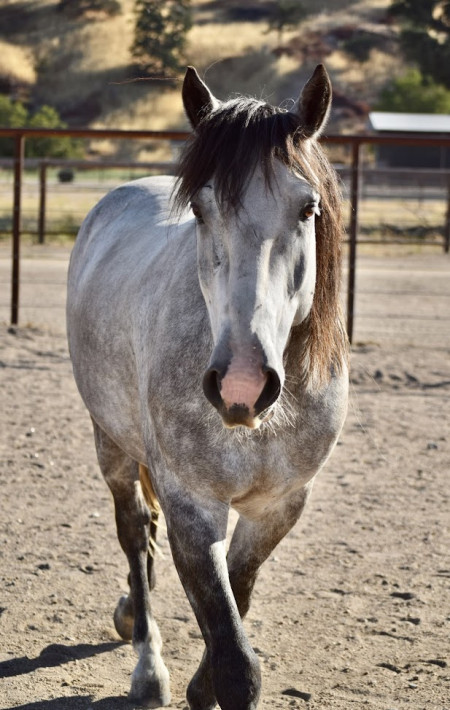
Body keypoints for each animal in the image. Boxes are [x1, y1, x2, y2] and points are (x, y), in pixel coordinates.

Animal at [66, 64, 348, 708]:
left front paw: (202, 686)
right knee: (134, 530)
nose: (242, 383)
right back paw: (147, 667)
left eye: (308, 208)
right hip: (111, 444)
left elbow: (235, 602)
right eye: (200, 208)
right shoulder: (193, 506)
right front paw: (199, 683)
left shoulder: (278, 509)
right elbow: (236, 660)